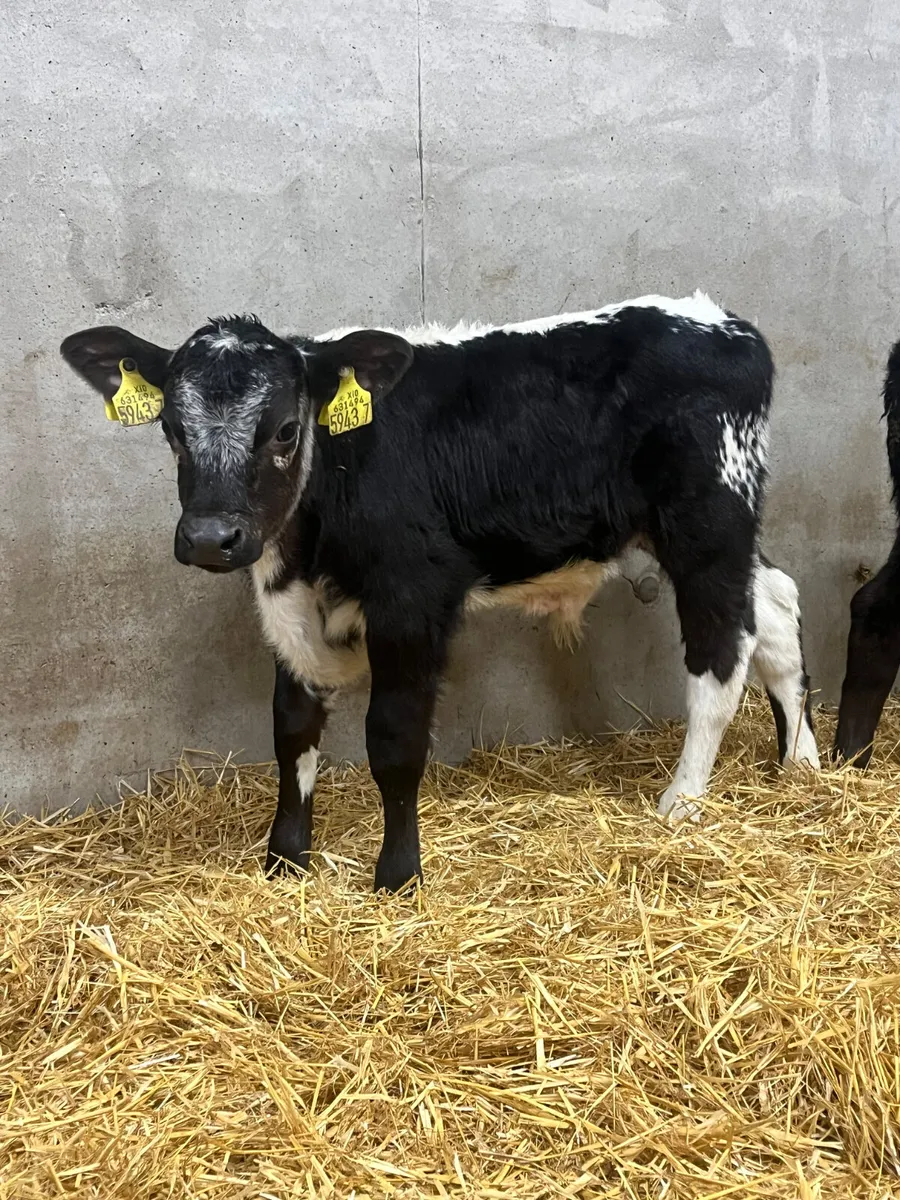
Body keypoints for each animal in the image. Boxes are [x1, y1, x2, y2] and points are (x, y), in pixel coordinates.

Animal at [60, 291, 820, 892]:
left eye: (284, 429)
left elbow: (394, 740)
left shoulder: (412, 600)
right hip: (716, 527)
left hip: (707, 521)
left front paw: (398, 876)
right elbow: (292, 728)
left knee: (722, 653)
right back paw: (802, 767)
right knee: (778, 606)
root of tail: (722, 321)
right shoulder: (287, 610)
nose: (211, 538)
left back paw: (682, 802)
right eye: (171, 429)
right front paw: (285, 859)